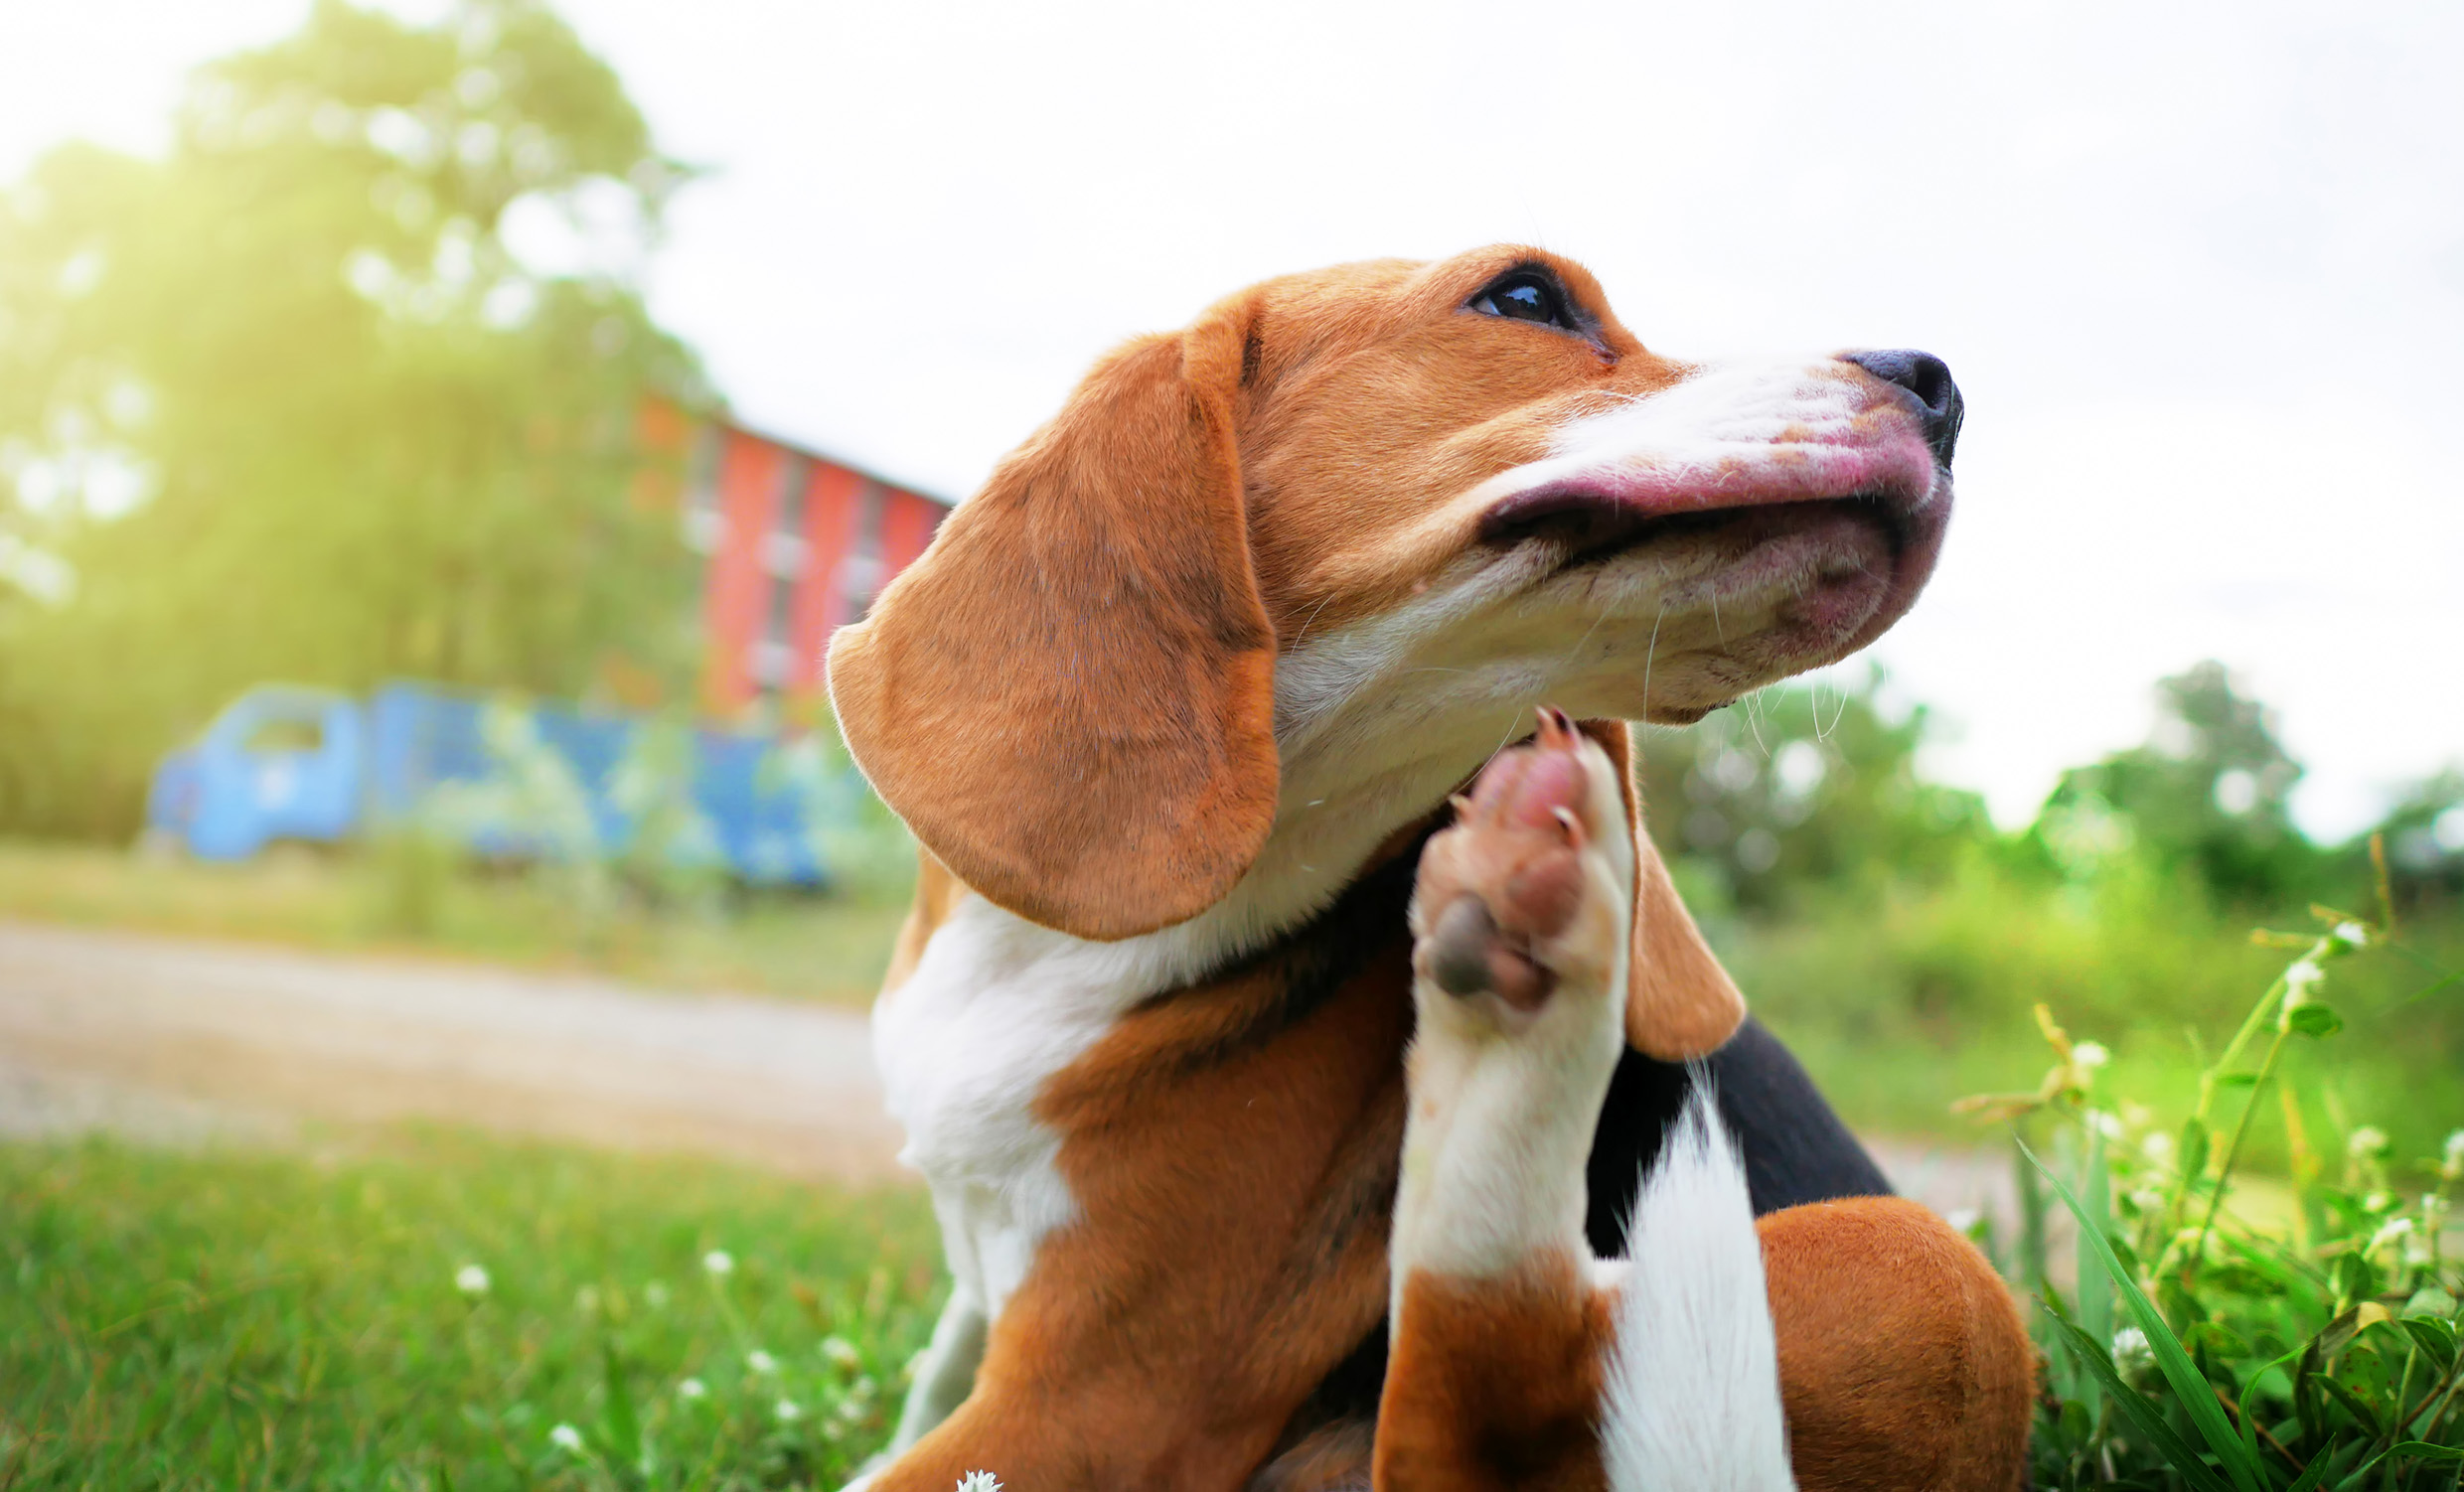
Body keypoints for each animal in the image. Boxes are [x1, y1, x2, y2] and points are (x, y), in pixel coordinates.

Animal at [818, 250, 2030, 1487]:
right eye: (1525, 297)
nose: (1941, 390)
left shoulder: (1096, 1403)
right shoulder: (999, 1329)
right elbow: (925, 1386)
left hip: (1921, 1262)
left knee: (1475, 1414)